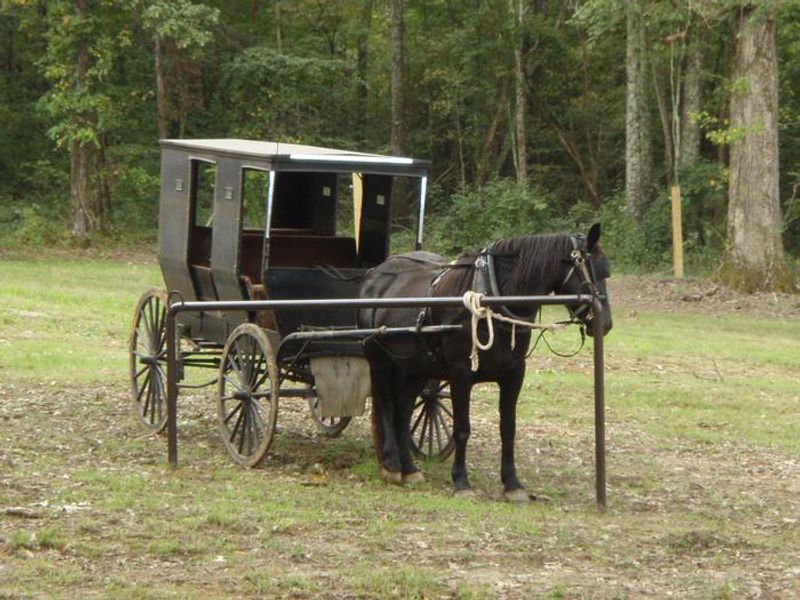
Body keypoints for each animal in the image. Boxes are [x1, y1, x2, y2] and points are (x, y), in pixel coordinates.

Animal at [358, 223, 612, 501]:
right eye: (593, 271)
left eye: (606, 272)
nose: (605, 324)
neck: (492, 299)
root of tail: (375, 275)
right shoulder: (460, 374)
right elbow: (462, 429)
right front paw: (461, 482)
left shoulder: (514, 373)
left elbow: (508, 428)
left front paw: (512, 484)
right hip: (379, 359)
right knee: (386, 404)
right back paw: (392, 465)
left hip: (416, 367)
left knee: (403, 409)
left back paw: (410, 470)